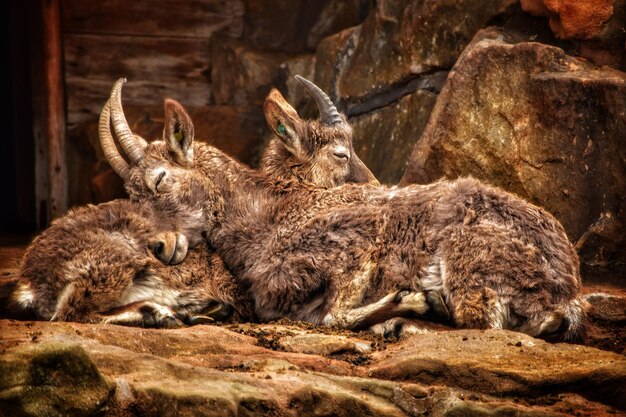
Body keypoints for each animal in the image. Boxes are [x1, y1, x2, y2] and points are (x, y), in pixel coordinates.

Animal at [7, 76, 376, 326]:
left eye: (159, 179)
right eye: (341, 153)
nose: (159, 246)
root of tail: (31, 279)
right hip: (112, 263)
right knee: (71, 311)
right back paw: (163, 313)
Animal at [100, 77, 588, 342]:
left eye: (160, 179)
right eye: (131, 195)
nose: (159, 246)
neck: (266, 216)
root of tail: (565, 290)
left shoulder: (350, 249)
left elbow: (333, 312)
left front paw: (407, 301)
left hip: (468, 264)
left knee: (481, 320)